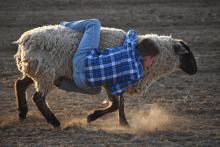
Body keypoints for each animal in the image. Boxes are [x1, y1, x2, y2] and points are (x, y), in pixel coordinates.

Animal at [13, 24, 198, 127]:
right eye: (187, 54)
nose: (195, 70)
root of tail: (25, 40)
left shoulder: (119, 81)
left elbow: (120, 104)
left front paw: (124, 123)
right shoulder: (112, 79)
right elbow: (116, 105)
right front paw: (92, 117)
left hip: (39, 70)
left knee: (20, 84)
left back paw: (22, 113)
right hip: (46, 72)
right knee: (38, 97)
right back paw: (54, 122)